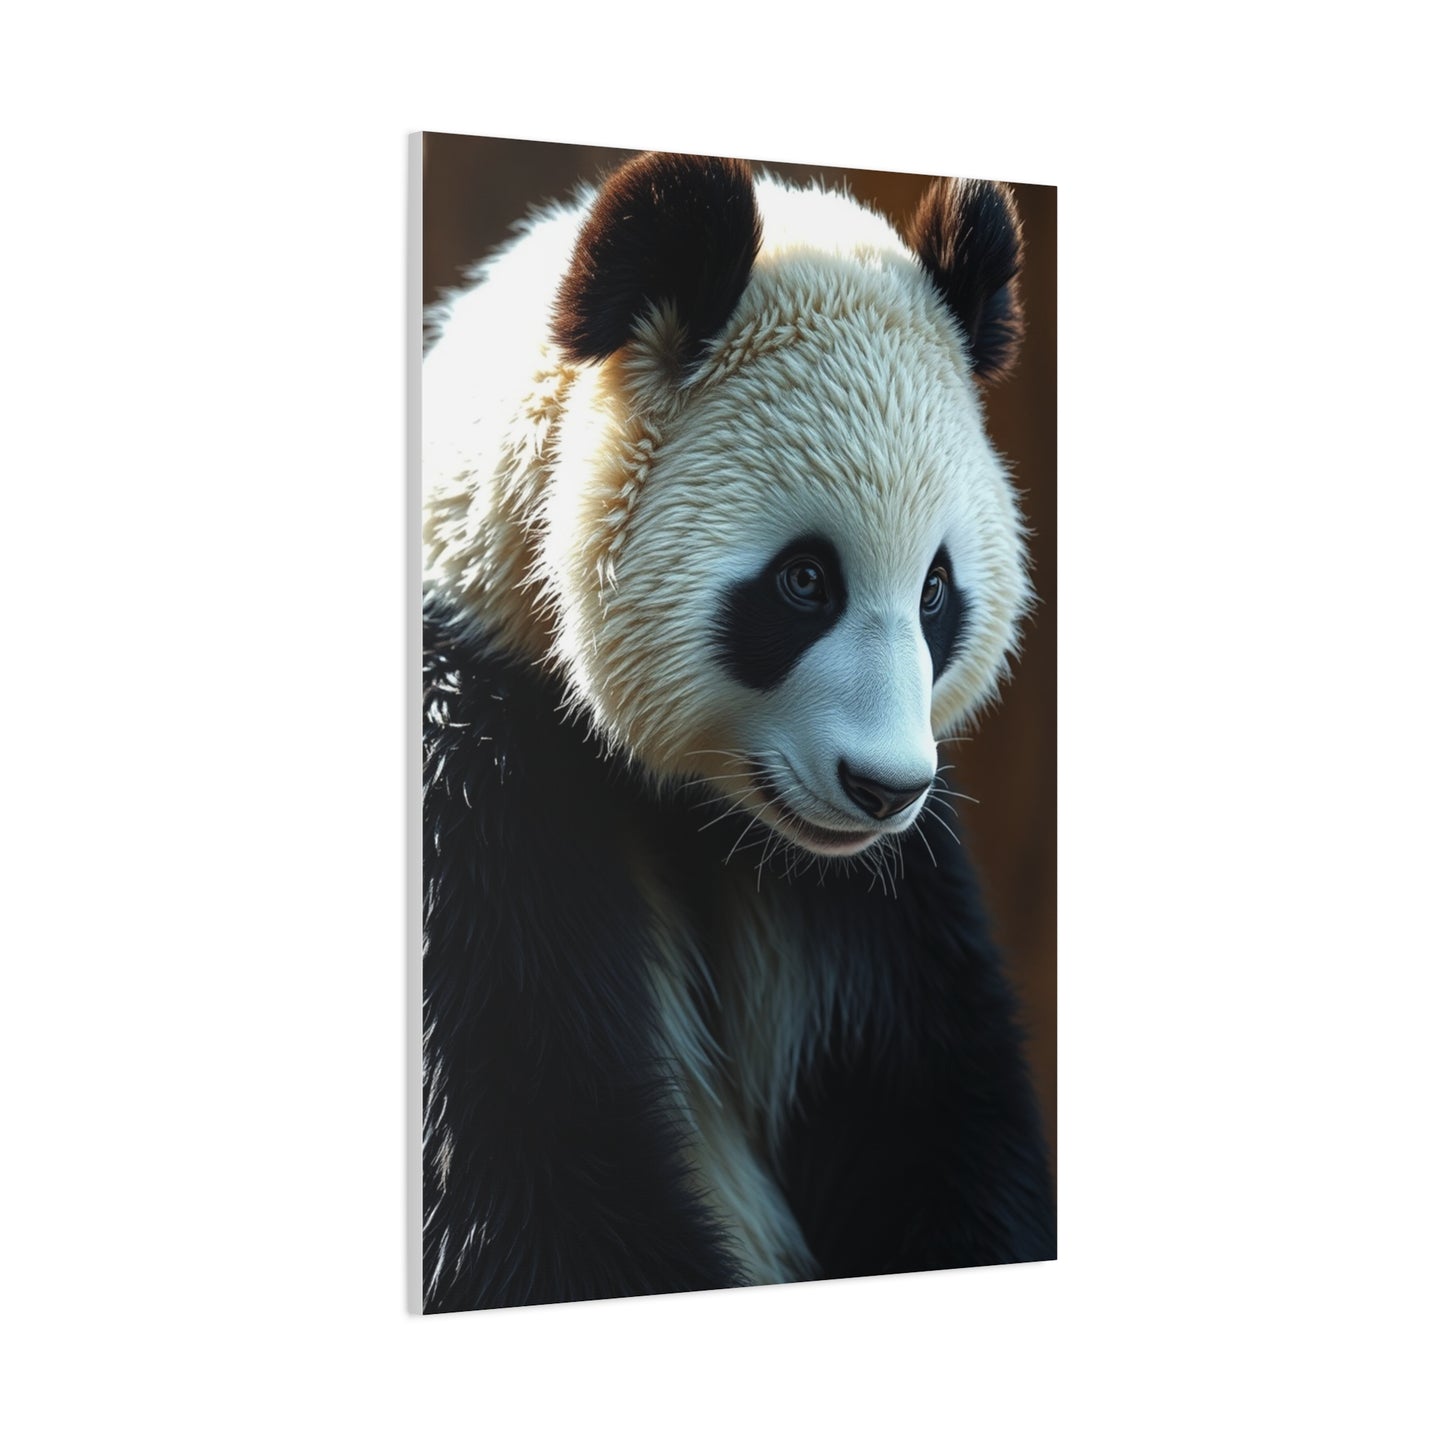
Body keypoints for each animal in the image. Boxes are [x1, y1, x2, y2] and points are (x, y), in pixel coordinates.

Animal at [421, 151, 1055, 1311]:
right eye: (804, 581)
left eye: (936, 590)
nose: (883, 787)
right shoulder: (476, 785)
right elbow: (529, 1169)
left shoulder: (867, 901)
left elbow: (930, 1120)